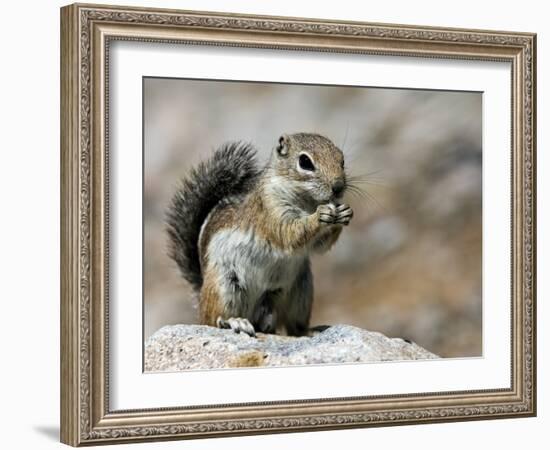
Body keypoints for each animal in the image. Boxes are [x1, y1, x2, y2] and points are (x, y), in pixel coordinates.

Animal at [166, 134, 354, 338]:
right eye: (305, 162)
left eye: (342, 160)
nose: (338, 187)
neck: (306, 201)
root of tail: (200, 294)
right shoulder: (270, 210)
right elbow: (289, 234)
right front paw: (320, 215)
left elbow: (320, 246)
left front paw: (344, 213)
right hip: (225, 285)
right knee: (213, 319)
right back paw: (235, 321)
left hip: (300, 291)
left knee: (292, 327)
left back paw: (307, 330)